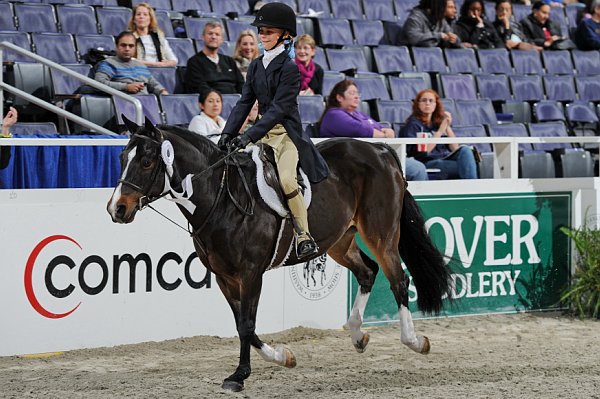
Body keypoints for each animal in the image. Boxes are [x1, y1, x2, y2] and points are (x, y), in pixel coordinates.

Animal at [106, 119, 450, 394]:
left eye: (146, 162)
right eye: (121, 158)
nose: (116, 209)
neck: (221, 196)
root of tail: (380, 150)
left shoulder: (250, 273)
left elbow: (247, 325)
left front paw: (239, 376)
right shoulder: (224, 277)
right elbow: (242, 323)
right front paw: (283, 357)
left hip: (381, 234)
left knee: (398, 279)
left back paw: (415, 341)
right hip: (339, 241)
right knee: (368, 272)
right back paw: (357, 336)